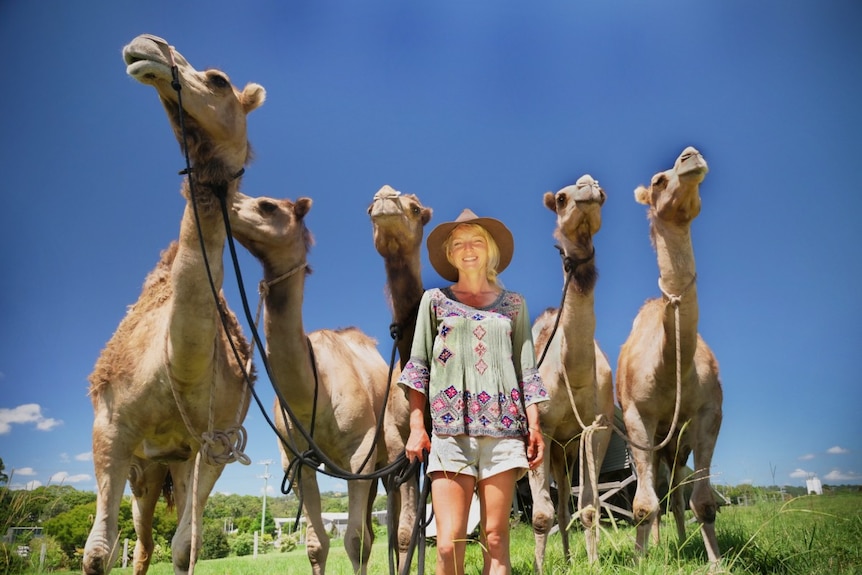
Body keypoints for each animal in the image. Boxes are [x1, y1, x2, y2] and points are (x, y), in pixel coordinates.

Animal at [86, 35, 266, 575]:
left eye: (218, 80)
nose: (148, 45)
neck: (173, 368)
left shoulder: (216, 441)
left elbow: (187, 545)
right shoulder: (110, 428)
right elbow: (98, 551)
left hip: (174, 464)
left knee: (158, 538)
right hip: (144, 467)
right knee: (138, 541)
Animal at [231, 191, 416, 572]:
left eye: (267, 205)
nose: (227, 199)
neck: (315, 390)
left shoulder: (360, 450)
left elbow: (356, 541)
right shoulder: (294, 459)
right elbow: (317, 544)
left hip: (384, 459)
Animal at [616, 145, 724, 568]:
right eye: (658, 181)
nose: (690, 156)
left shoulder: (709, 410)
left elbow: (704, 501)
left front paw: (716, 563)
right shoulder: (636, 416)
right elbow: (643, 505)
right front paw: (639, 560)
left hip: (678, 442)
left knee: (676, 491)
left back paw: (678, 541)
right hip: (659, 440)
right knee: (659, 493)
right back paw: (659, 545)